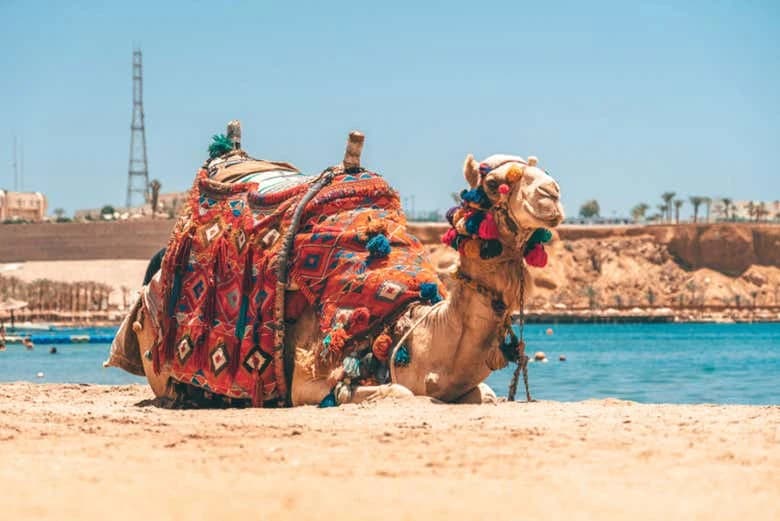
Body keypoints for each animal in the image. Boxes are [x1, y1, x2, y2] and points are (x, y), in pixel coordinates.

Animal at [111, 122, 564, 406]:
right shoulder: (308, 380)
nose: (552, 194)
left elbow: (484, 394)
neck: (408, 330)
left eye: (542, 170)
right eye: (494, 182)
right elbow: (399, 394)